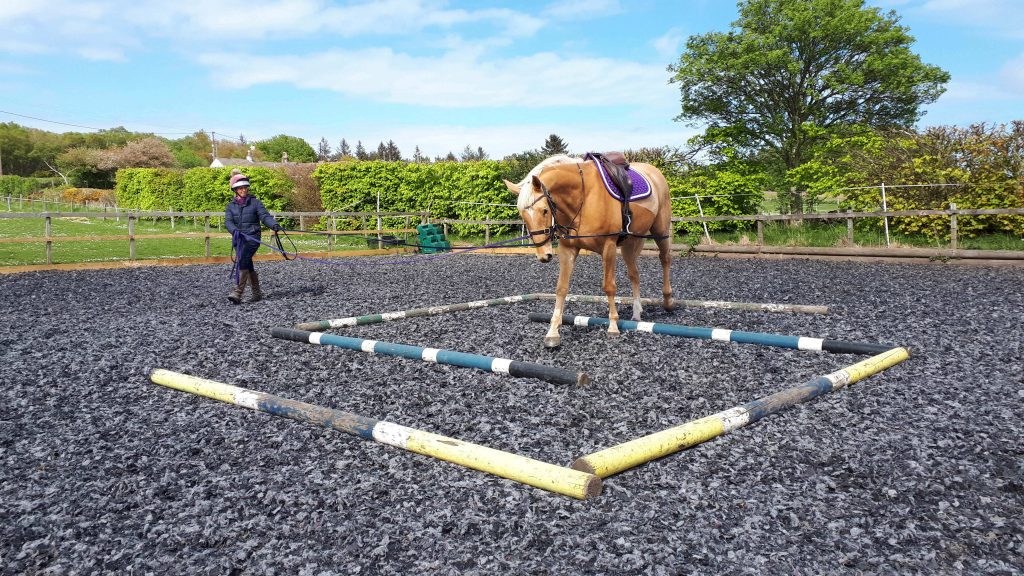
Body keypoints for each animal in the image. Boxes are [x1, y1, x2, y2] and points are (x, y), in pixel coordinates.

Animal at [501, 153, 675, 344]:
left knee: (665, 259)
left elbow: (609, 286)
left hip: (660, 232)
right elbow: (561, 288)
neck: (582, 198)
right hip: (630, 242)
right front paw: (552, 332)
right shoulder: (567, 248)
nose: (544, 255)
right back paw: (637, 313)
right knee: (634, 274)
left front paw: (613, 326)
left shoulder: (609, 247)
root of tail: (655, 172)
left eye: (545, 210)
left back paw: (668, 301)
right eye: (523, 215)